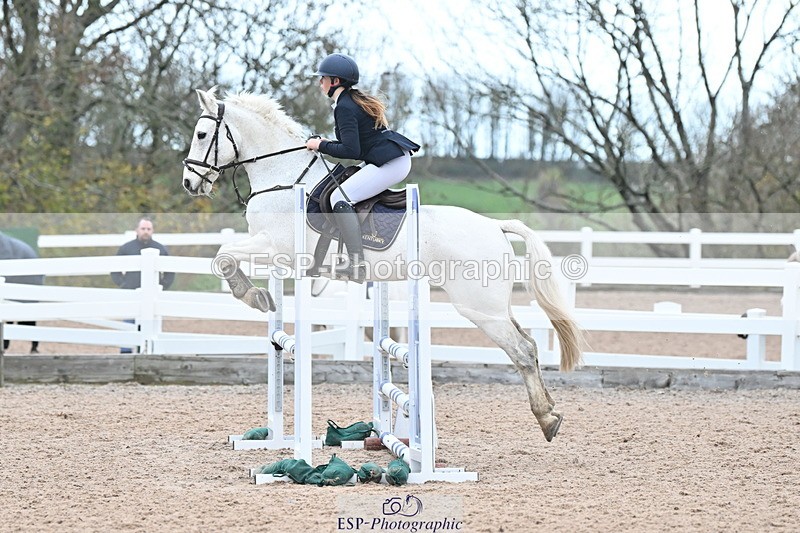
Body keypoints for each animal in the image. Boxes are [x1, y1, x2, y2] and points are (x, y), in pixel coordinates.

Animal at [181, 88, 584, 442]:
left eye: (201, 134)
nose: (188, 183)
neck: (282, 177)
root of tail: (494, 226)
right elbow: (226, 253)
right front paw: (260, 296)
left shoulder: (279, 249)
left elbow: (223, 256)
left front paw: (254, 297)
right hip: (492, 305)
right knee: (529, 343)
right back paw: (550, 411)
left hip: (479, 306)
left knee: (522, 351)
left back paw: (546, 418)